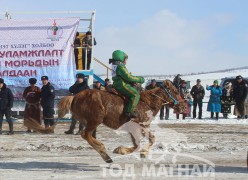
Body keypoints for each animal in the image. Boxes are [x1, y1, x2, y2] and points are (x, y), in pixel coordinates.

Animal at [25, 80, 188, 163]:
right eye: (175, 91)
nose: (184, 106)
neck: (146, 102)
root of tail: (76, 96)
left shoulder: (134, 129)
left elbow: (137, 144)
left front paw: (122, 149)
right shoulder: (140, 126)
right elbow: (150, 139)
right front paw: (142, 152)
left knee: (89, 136)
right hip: (94, 120)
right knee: (86, 135)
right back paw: (104, 152)